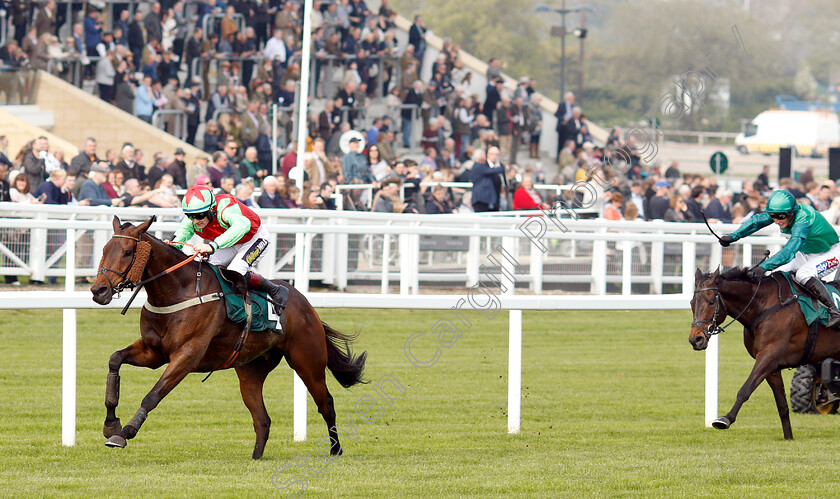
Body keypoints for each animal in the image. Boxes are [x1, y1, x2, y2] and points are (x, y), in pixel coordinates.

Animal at [90, 217, 366, 458]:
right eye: (104, 249)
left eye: (127, 252)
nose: (98, 290)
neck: (178, 289)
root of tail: (306, 304)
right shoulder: (153, 352)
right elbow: (115, 360)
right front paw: (111, 423)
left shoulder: (187, 355)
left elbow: (153, 394)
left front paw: (124, 432)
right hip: (251, 370)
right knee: (262, 419)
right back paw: (256, 458)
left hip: (308, 362)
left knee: (326, 403)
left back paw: (335, 450)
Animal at [692, 268, 840, 440]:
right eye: (691, 303)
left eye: (711, 302)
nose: (695, 339)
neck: (763, 306)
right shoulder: (772, 366)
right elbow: (782, 404)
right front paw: (789, 438)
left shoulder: (769, 356)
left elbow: (745, 390)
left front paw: (725, 419)